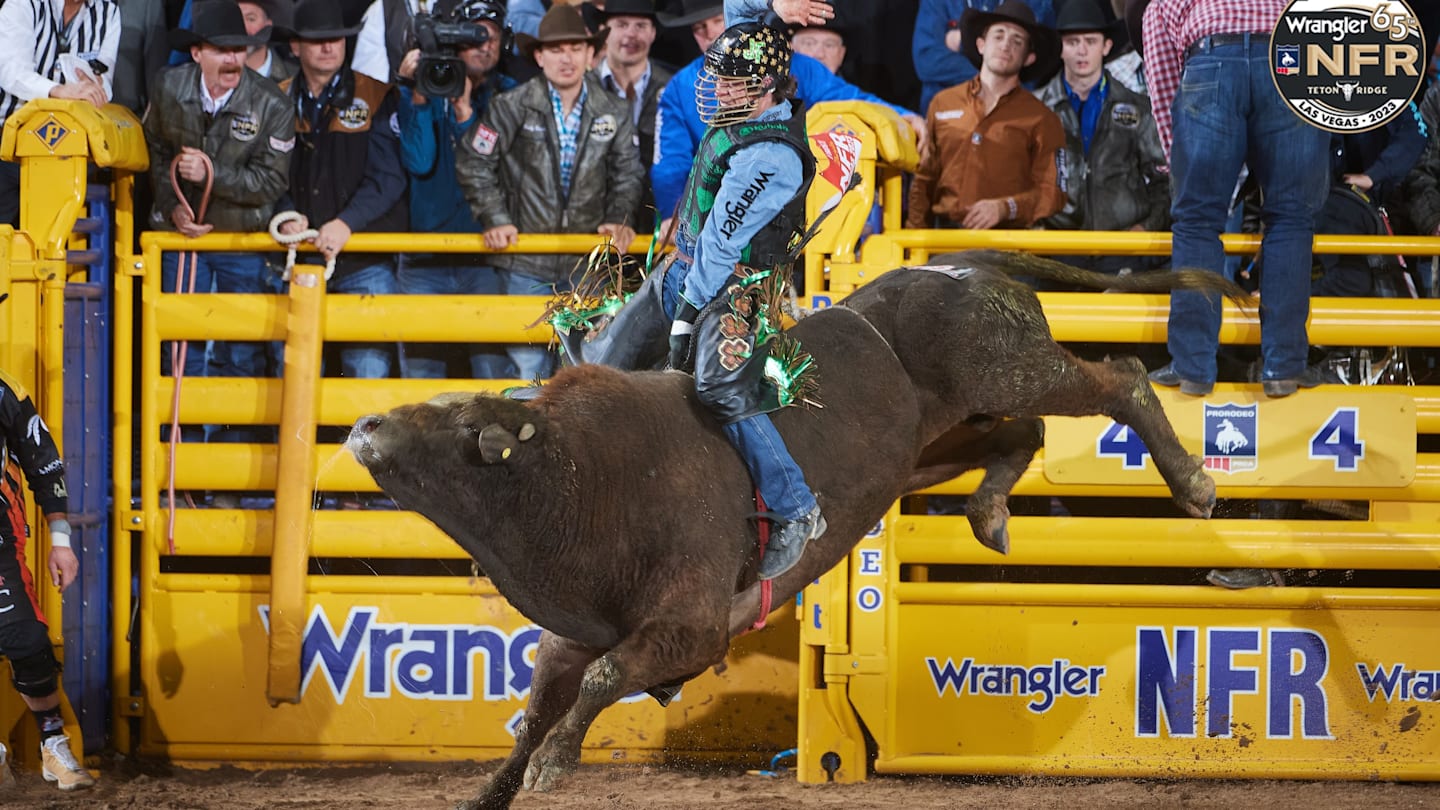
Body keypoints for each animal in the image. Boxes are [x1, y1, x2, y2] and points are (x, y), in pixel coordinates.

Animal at [347, 252, 1241, 809]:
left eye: (459, 421)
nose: (364, 425)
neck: (583, 477)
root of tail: (962, 265)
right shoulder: (574, 631)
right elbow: (536, 707)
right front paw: (491, 789)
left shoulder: (692, 624)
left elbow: (601, 682)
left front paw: (554, 768)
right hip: (933, 445)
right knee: (1018, 437)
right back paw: (990, 515)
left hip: (1009, 367)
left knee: (1118, 380)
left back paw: (1194, 483)